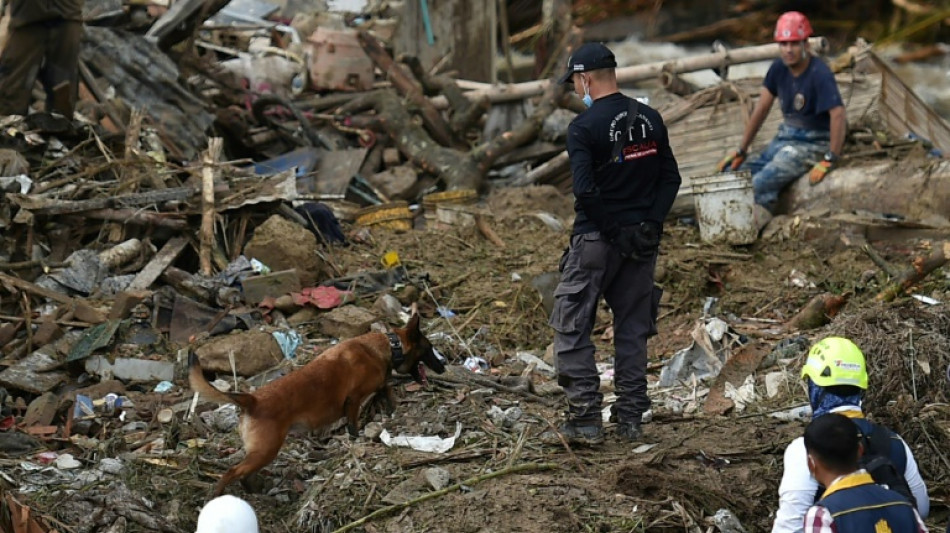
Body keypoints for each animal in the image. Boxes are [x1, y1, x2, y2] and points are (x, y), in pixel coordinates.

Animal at [192, 314, 450, 496]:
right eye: (429, 349)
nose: (445, 365)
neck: (388, 346)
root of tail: (252, 400)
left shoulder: (379, 384)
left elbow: (386, 391)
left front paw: (391, 411)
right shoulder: (353, 400)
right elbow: (354, 425)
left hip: (261, 453)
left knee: (243, 475)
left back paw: (255, 492)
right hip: (265, 450)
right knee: (231, 473)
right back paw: (218, 496)